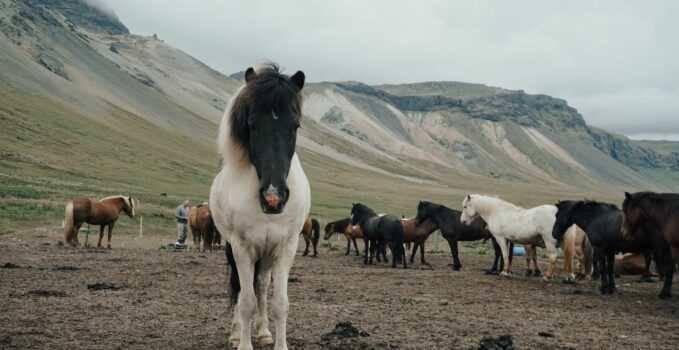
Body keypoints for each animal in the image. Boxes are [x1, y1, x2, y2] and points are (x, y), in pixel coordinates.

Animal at [210, 63, 310, 350]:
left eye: (295, 125)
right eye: (252, 125)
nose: (274, 197)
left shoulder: (287, 247)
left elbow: (279, 303)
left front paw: (278, 342)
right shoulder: (241, 247)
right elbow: (245, 301)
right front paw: (243, 343)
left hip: (267, 253)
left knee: (263, 285)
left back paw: (264, 331)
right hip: (235, 248)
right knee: (240, 287)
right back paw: (236, 333)